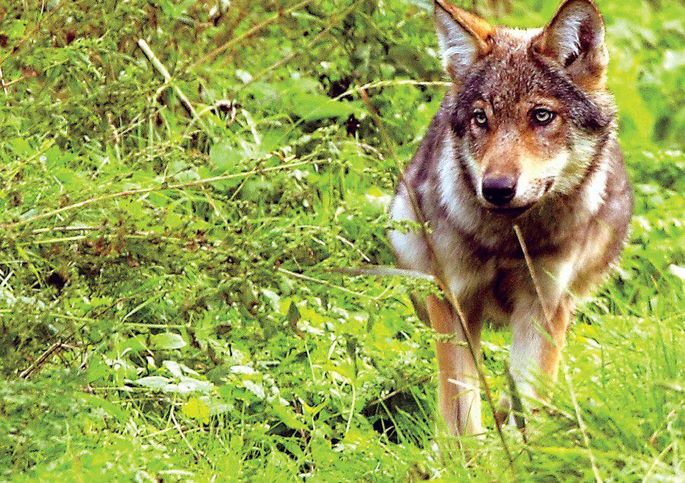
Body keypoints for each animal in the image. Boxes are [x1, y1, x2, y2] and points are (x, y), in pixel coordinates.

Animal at [388, 0, 632, 436]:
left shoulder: (543, 305)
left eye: (541, 116)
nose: (497, 188)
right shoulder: (455, 299)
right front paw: (468, 453)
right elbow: (460, 411)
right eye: (481, 119)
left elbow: (528, 397)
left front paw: (524, 447)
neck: (509, 239)